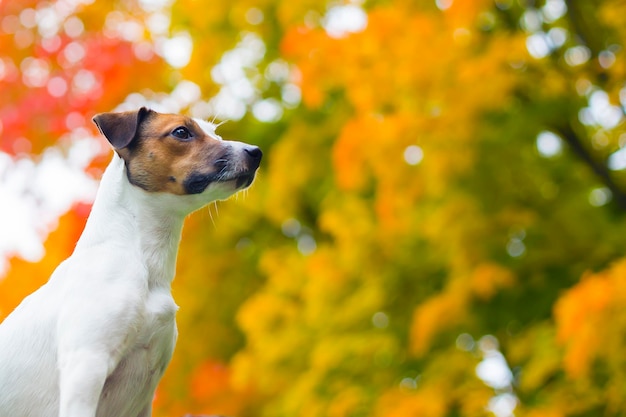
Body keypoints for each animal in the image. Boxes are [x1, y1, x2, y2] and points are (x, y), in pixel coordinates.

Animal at [0, 108, 260, 416]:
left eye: (215, 133)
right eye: (181, 132)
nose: (256, 152)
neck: (140, 259)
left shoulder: (144, 399)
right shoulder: (86, 368)